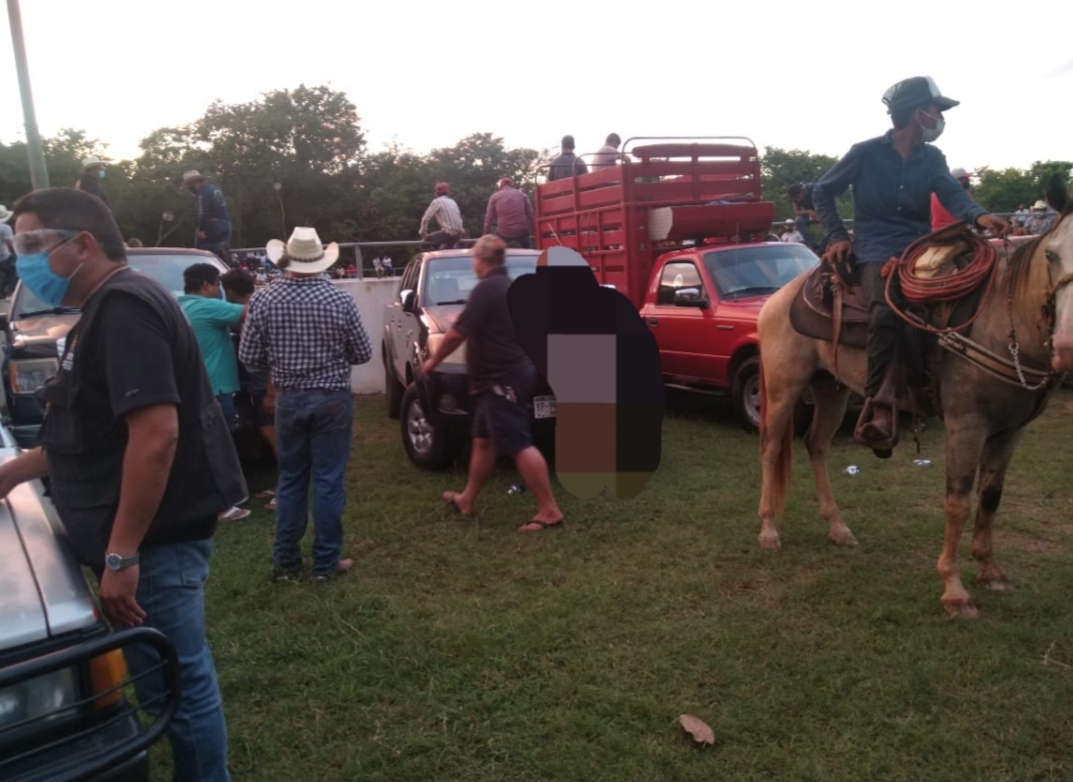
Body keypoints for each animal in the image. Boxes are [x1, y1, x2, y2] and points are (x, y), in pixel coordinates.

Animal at [755, 181, 1073, 617]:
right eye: (1051, 254)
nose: (1066, 344)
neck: (1000, 323)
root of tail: (779, 295)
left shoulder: (1010, 430)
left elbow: (991, 497)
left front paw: (991, 571)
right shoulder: (966, 423)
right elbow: (958, 501)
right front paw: (954, 590)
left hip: (831, 389)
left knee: (816, 445)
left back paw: (838, 527)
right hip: (784, 387)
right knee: (771, 450)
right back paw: (769, 530)